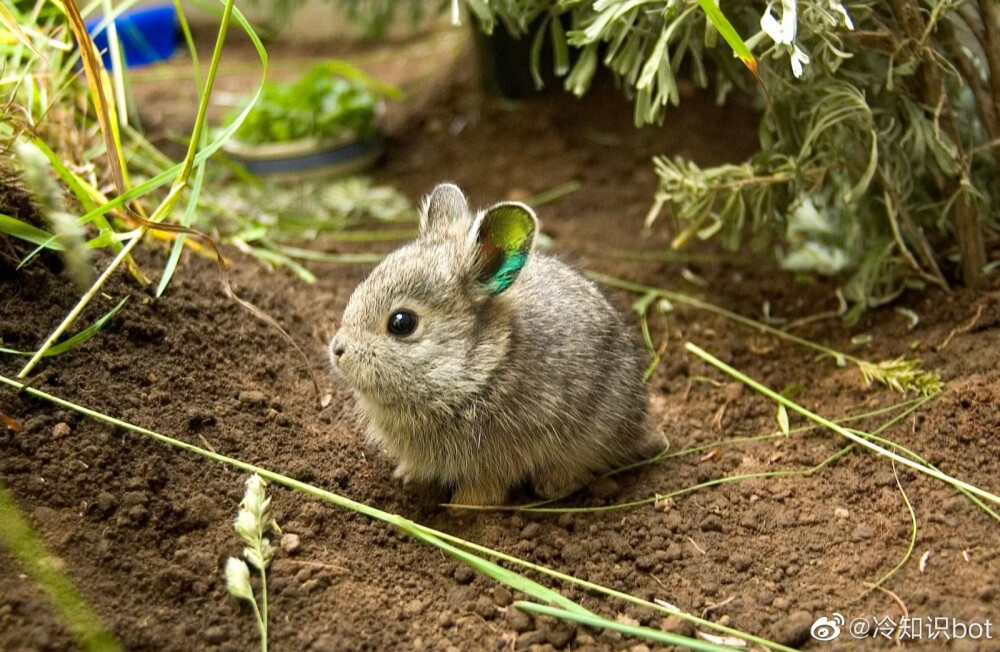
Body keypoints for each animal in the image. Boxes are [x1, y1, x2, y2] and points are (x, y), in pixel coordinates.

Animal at [332, 183, 668, 504]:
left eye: (402, 323)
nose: (337, 350)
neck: (480, 368)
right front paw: (407, 476)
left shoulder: (501, 454)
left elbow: (487, 486)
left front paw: (463, 506)